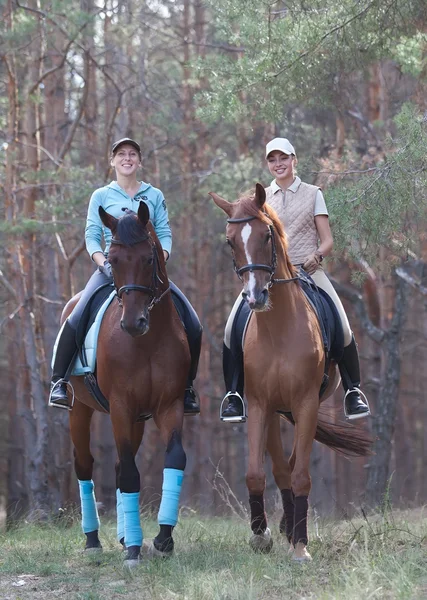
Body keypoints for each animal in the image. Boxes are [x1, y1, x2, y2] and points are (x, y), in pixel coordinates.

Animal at [61, 202, 190, 568]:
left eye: (148, 259)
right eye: (113, 259)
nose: (134, 323)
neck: (146, 342)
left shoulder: (169, 405)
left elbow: (174, 459)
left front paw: (163, 538)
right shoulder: (120, 405)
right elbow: (131, 473)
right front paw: (133, 549)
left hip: (137, 419)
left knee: (119, 463)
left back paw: (121, 535)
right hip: (79, 410)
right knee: (85, 465)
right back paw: (93, 540)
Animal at [210, 184, 372, 564]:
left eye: (267, 234)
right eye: (230, 241)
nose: (255, 296)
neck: (278, 329)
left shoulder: (306, 403)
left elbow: (301, 475)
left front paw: (301, 545)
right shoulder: (259, 405)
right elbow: (257, 473)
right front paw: (261, 535)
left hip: (305, 407)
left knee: (295, 462)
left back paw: (293, 528)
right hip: (274, 412)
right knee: (281, 466)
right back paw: (283, 525)